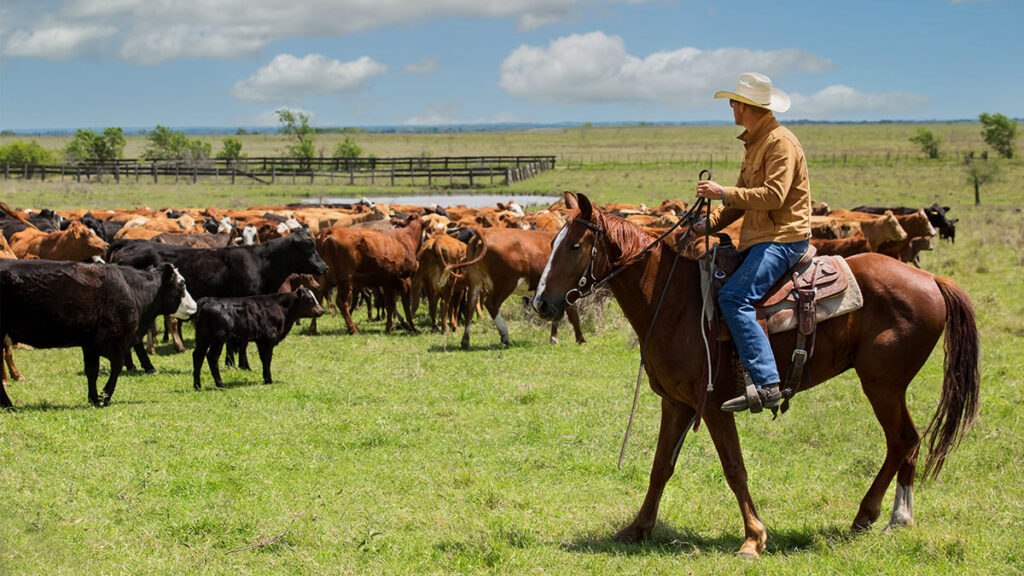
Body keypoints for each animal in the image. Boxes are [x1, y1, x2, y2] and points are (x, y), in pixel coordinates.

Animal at [0, 260, 195, 407]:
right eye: (181, 284)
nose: (194, 306)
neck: (131, 289)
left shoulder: (90, 344)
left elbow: (92, 371)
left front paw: (94, 398)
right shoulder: (115, 341)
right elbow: (116, 367)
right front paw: (105, 397)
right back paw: (8, 404)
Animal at [190, 284, 321, 387]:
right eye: (310, 300)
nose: (322, 311)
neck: (279, 307)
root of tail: (207, 301)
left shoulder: (260, 341)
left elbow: (263, 359)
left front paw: (266, 378)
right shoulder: (268, 340)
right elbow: (267, 359)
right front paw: (269, 380)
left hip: (202, 338)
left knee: (198, 355)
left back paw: (197, 385)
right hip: (218, 340)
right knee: (212, 357)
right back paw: (220, 384)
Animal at [448, 226, 585, 348]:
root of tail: (486, 231)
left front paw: (554, 338)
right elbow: (573, 313)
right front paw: (580, 339)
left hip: (475, 282)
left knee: (470, 306)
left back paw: (465, 341)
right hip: (505, 283)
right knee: (491, 304)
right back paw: (504, 335)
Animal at [532, 191, 978, 557]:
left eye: (574, 245)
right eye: (551, 243)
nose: (541, 303)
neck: (673, 301)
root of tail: (931, 279)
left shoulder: (714, 405)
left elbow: (734, 467)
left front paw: (753, 538)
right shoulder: (676, 402)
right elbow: (661, 466)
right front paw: (638, 528)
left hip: (883, 384)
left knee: (903, 440)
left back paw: (886, 517)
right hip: (886, 385)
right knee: (904, 442)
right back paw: (881, 517)